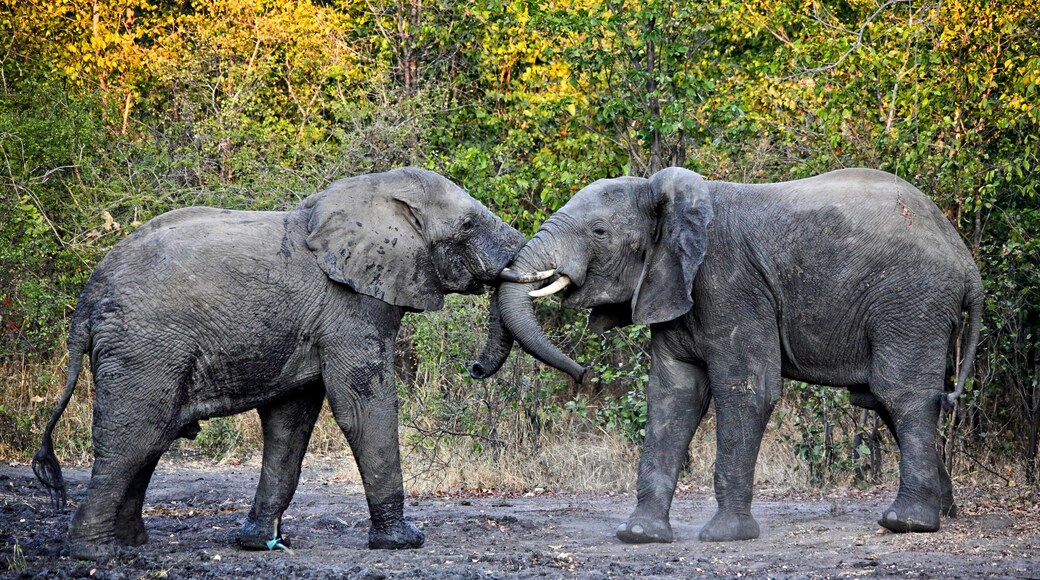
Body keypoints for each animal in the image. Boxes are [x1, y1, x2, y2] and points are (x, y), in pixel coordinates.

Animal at [32, 167, 530, 560]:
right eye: (466, 225)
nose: (474, 369)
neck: (372, 191)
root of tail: (88, 298)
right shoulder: (349, 306)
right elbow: (362, 408)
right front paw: (403, 541)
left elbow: (290, 421)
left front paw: (260, 543)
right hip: (145, 347)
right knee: (136, 436)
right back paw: (97, 553)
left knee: (150, 441)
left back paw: (132, 542)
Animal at [477, 167, 983, 543]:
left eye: (599, 231)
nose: (582, 373)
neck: (668, 197)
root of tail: (965, 259)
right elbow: (672, 397)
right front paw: (639, 535)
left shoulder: (731, 284)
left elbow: (746, 390)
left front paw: (724, 536)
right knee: (885, 401)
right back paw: (945, 513)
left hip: (911, 301)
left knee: (899, 395)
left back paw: (906, 523)